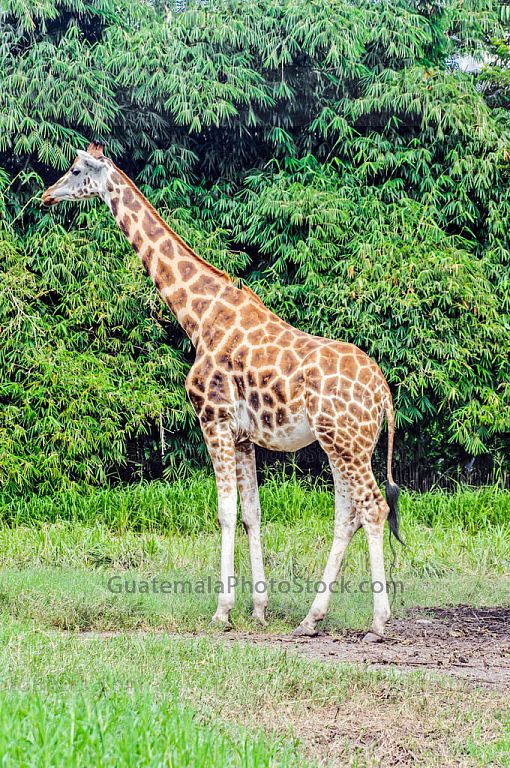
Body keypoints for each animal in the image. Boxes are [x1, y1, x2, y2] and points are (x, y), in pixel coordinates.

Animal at [42, 143, 402, 641]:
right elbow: (252, 513)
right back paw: (311, 619)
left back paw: (378, 622)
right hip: (345, 444)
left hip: (345, 441)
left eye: (76, 170)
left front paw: (222, 611)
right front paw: (259, 609)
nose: (46, 195)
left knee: (372, 507)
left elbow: (226, 512)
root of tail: (383, 391)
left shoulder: (213, 419)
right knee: (347, 513)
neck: (199, 317)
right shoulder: (245, 435)